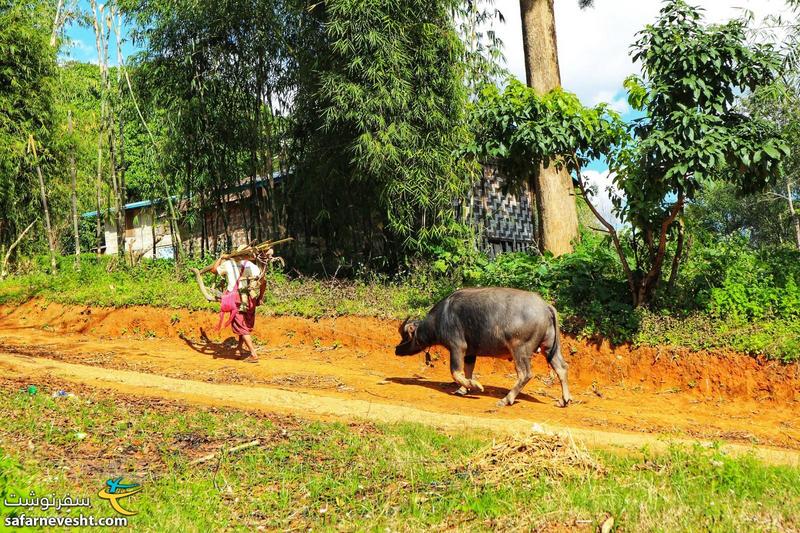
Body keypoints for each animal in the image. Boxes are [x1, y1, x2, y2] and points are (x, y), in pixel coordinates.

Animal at [392, 288, 568, 406]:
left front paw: (475, 385)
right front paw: (463, 389)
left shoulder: (457, 347)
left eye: (405, 336)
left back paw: (506, 399)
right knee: (561, 368)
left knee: (525, 374)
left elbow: (455, 372)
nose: (396, 349)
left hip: (520, 349)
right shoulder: (471, 352)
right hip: (549, 347)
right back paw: (565, 400)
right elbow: (467, 370)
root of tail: (545, 307)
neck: (441, 318)